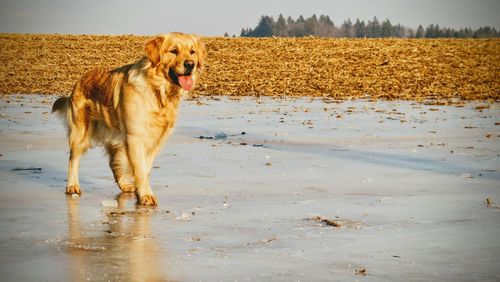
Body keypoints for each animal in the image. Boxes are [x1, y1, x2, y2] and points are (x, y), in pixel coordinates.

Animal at [52, 32, 205, 205]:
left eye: (192, 52)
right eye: (174, 51)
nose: (190, 65)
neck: (157, 91)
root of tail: (79, 80)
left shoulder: (156, 139)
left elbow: (145, 168)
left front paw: (140, 191)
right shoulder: (135, 137)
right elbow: (140, 169)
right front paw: (146, 195)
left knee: (113, 162)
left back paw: (124, 185)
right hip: (80, 133)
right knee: (73, 159)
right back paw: (72, 186)